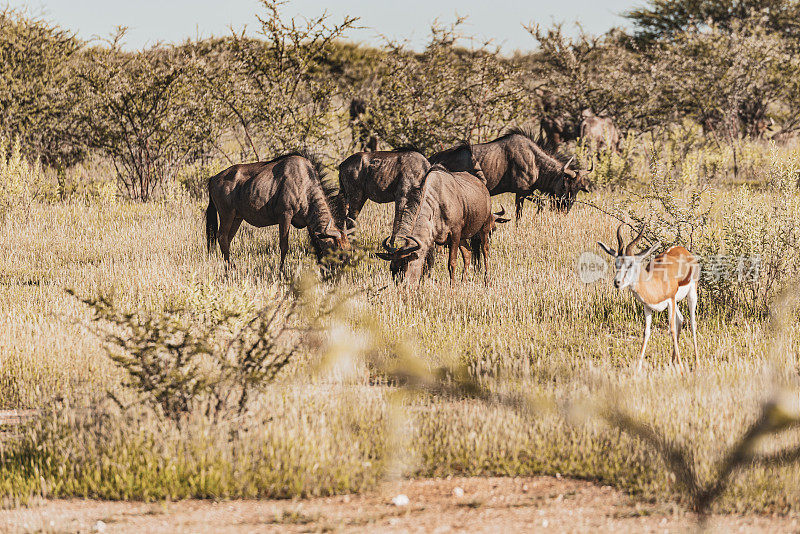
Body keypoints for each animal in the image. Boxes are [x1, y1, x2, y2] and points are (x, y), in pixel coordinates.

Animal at [600, 225, 700, 372]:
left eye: (630, 264)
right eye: (616, 264)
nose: (617, 282)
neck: (656, 282)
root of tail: (682, 249)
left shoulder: (670, 301)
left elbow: (671, 329)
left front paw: (682, 369)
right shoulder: (647, 307)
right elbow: (646, 332)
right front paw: (637, 368)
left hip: (691, 294)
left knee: (692, 323)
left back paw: (696, 363)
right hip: (676, 302)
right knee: (680, 319)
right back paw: (672, 361)